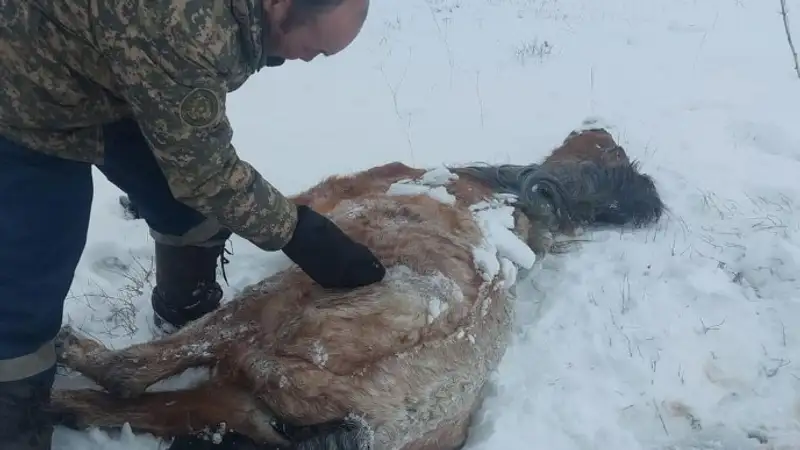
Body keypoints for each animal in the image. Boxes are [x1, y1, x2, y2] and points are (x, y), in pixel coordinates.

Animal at [48, 125, 664, 450]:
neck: (513, 200)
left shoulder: (318, 200)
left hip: (262, 318)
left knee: (136, 371)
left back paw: (73, 354)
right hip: (236, 399)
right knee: (139, 405)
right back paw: (62, 403)